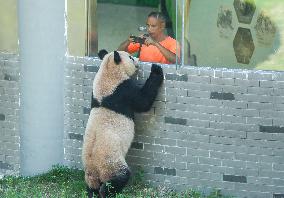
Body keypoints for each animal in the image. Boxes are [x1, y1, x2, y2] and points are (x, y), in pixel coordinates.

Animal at [81, 49, 163, 198]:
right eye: (130, 57)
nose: (138, 60)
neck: (108, 71)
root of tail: (95, 168)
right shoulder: (123, 91)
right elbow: (143, 102)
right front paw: (156, 69)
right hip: (111, 163)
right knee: (120, 177)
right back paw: (108, 192)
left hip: (90, 174)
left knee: (92, 187)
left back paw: (93, 192)